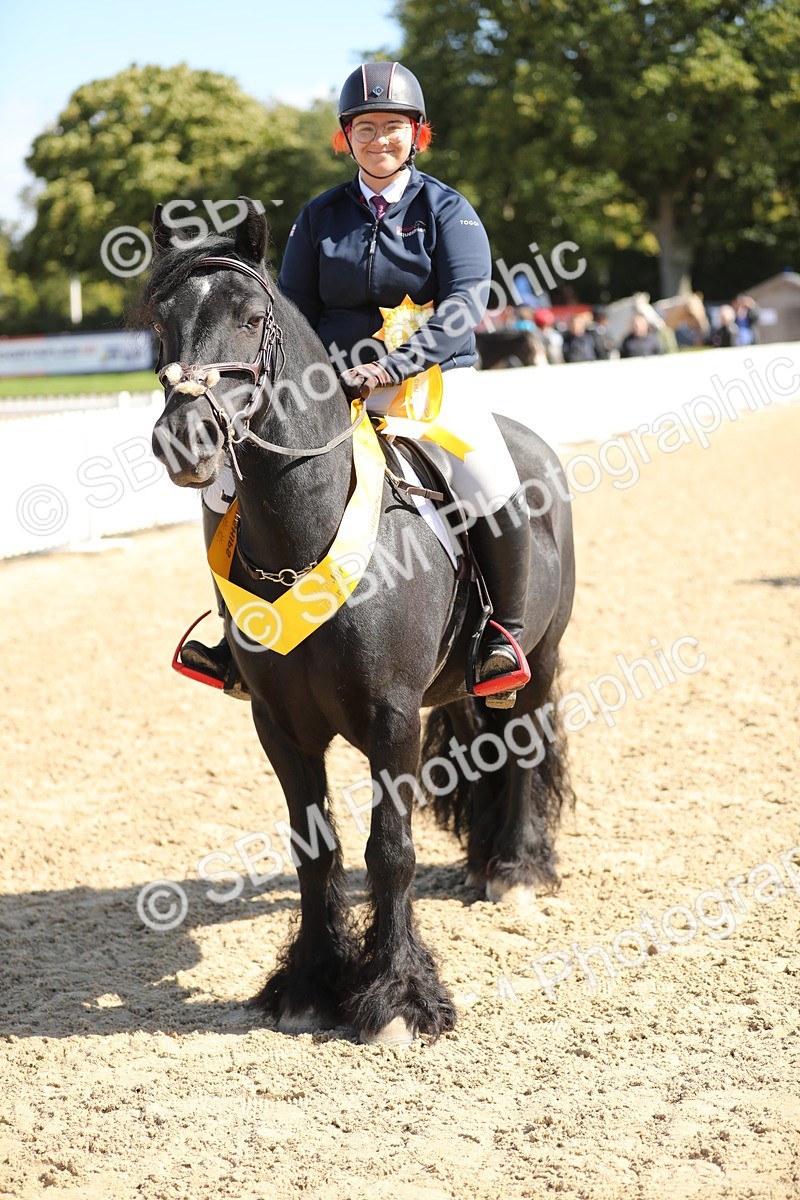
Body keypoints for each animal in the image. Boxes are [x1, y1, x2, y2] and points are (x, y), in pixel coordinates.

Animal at [145, 198, 576, 1045]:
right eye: (162, 323)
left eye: (251, 317)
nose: (184, 440)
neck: (304, 536)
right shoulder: (279, 725)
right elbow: (316, 853)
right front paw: (311, 985)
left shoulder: (392, 717)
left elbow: (390, 850)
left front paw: (399, 998)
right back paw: (487, 862)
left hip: (538, 659)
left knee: (526, 743)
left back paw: (517, 869)